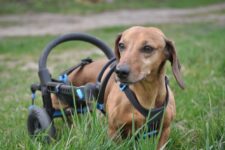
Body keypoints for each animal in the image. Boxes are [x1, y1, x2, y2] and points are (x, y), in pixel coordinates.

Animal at [51, 26, 185, 149]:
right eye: (121, 45)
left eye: (148, 48)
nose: (120, 71)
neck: (145, 95)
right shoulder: (114, 130)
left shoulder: (165, 130)